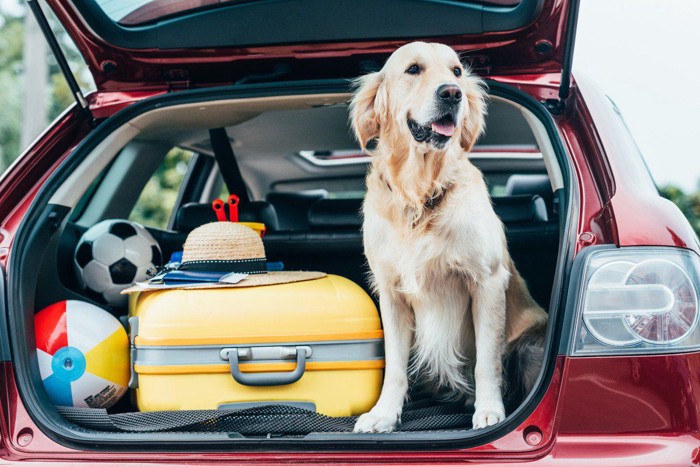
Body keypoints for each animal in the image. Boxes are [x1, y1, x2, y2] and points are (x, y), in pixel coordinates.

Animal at [352, 42, 548, 434]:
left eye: (456, 71)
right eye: (413, 69)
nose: (452, 94)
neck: (420, 194)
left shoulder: (486, 281)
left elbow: (487, 360)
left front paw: (489, 411)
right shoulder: (391, 293)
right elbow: (395, 366)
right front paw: (383, 414)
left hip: (531, 344)